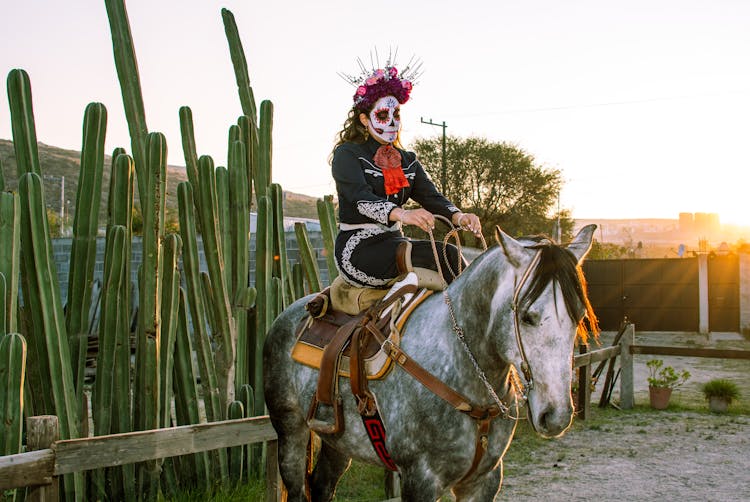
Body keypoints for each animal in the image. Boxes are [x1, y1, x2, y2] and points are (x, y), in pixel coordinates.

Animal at [264, 226, 600, 500]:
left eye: (580, 315)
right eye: (528, 316)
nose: (556, 416)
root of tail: (288, 313)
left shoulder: (484, 481)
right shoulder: (420, 479)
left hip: (338, 442)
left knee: (322, 485)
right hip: (290, 432)